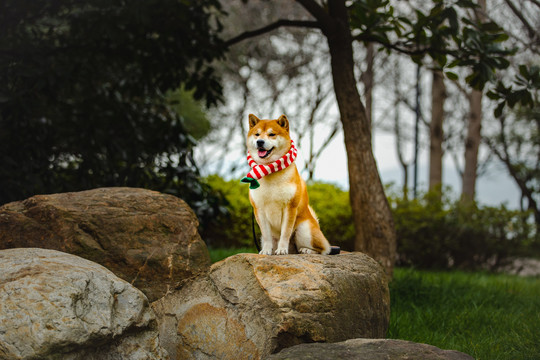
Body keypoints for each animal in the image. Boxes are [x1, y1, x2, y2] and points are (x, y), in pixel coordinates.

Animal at [242, 114, 334, 255]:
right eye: (257, 134)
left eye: (272, 134)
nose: (260, 142)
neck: (270, 171)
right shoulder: (259, 209)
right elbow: (266, 234)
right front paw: (266, 251)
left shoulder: (290, 207)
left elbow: (285, 232)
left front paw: (281, 250)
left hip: (304, 230)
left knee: (324, 249)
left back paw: (306, 250)